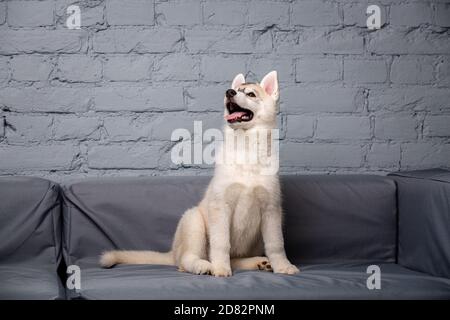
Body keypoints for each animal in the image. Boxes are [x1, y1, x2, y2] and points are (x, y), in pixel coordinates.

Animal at [101, 71, 298, 276]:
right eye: (235, 89)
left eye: (251, 94)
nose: (229, 92)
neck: (246, 149)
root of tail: (173, 253)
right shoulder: (220, 207)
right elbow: (221, 243)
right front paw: (220, 268)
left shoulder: (272, 210)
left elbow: (276, 244)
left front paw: (283, 266)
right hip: (193, 220)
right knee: (187, 260)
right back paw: (203, 266)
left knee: (234, 259)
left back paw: (259, 262)